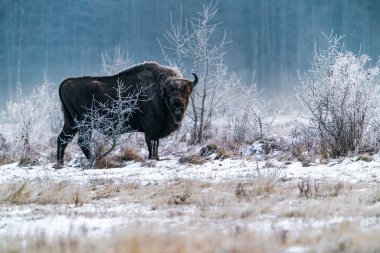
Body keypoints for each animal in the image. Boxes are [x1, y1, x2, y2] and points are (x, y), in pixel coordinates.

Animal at [55, 62, 199, 167]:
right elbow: (152, 143)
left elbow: (155, 143)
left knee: (62, 139)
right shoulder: (151, 128)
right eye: (169, 93)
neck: (159, 90)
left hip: (71, 122)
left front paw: (156, 158)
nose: (177, 105)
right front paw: (153, 158)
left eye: (186, 92)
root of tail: (66, 82)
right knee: (82, 142)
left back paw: (60, 163)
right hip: (84, 124)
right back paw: (93, 160)